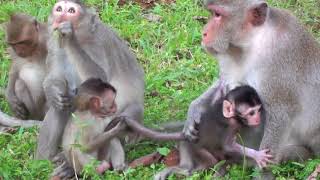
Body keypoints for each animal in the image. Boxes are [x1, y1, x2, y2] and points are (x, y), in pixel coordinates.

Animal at [36, 0, 144, 162]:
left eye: (71, 11)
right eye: (59, 9)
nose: (60, 16)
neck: (82, 37)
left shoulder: (97, 44)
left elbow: (100, 78)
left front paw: (70, 37)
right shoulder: (55, 43)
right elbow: (55, 76)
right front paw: (52, 92)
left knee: (130, 113)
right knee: (60, 108)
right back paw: (43, 160)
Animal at [182, 0, 320, 177]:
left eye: (218, 15)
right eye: (212, 14)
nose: (204, 33)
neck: (255, 41)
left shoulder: (278, 61)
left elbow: (281, 113)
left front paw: (263, 172)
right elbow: (225, 86)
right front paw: (194, 110)